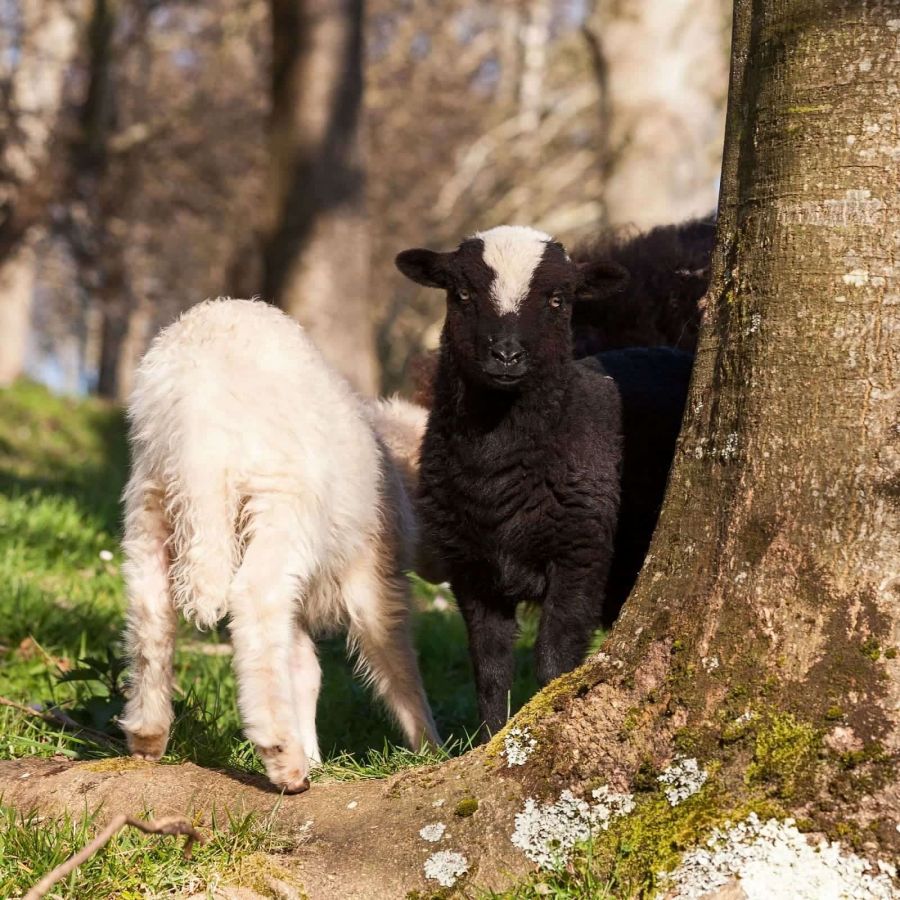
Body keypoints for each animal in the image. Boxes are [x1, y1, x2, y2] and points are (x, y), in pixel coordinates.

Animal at [119, 298, 439, 793]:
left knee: (150, 608)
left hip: (150, 501)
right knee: (255, 599)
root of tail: (197, 394)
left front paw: (316, 753)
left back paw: (148, 734)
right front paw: (433, 749)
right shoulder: (375, 577)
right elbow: (396, 659)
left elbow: (304, 669)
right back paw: (283, 756)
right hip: (280, 502)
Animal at [396, 226, 691, 737]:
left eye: (558, 299)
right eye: (462, 293)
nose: (506, 355)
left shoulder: (580, 554)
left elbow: (555, 662)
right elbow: (490, 667)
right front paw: (490, 740)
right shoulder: (470, 567)